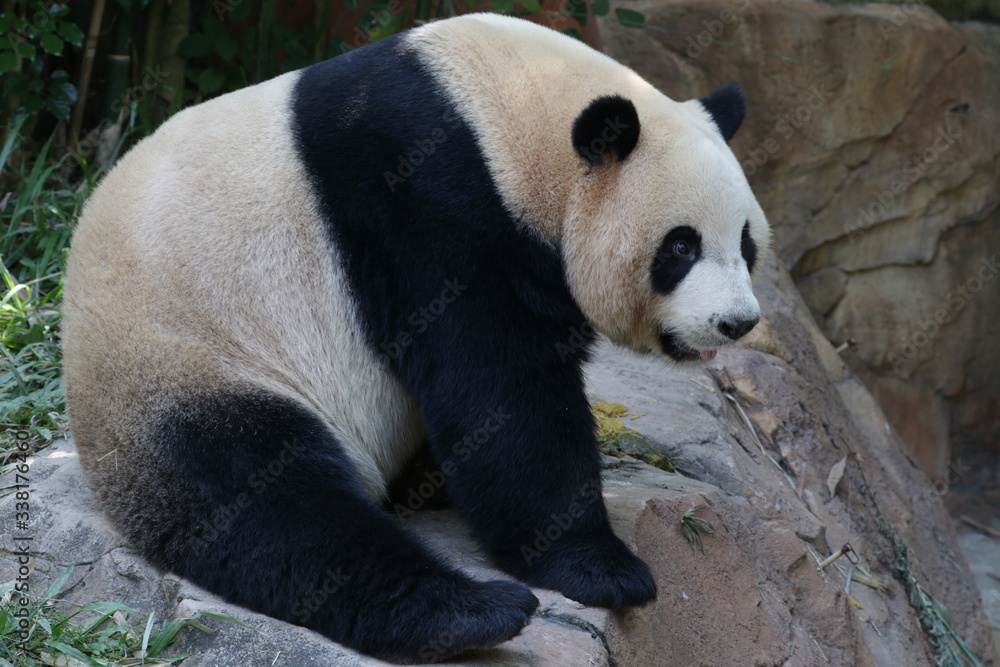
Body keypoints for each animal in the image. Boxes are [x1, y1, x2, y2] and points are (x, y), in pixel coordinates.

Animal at [62, 12, 769, 664]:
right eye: (680, 246)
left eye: (746, 243)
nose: (736, 322)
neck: (505, 117)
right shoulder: (426, 205)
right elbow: (500, 391)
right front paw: (598, 567)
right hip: (196, 359)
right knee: (273, 501)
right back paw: (469, 613)